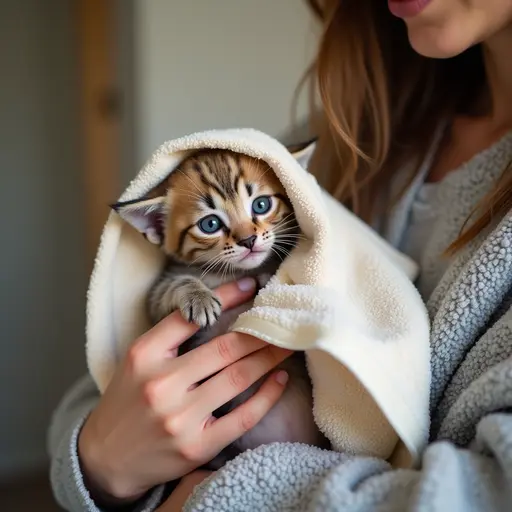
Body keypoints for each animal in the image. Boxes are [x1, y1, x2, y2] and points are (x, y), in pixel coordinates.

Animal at [114, 147, 326, 468]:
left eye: (261, 205)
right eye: (210, 224)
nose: (248, 240)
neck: (230, 273)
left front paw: (268, 277)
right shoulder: (157, 298)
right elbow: (172, 287)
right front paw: (197, 297)